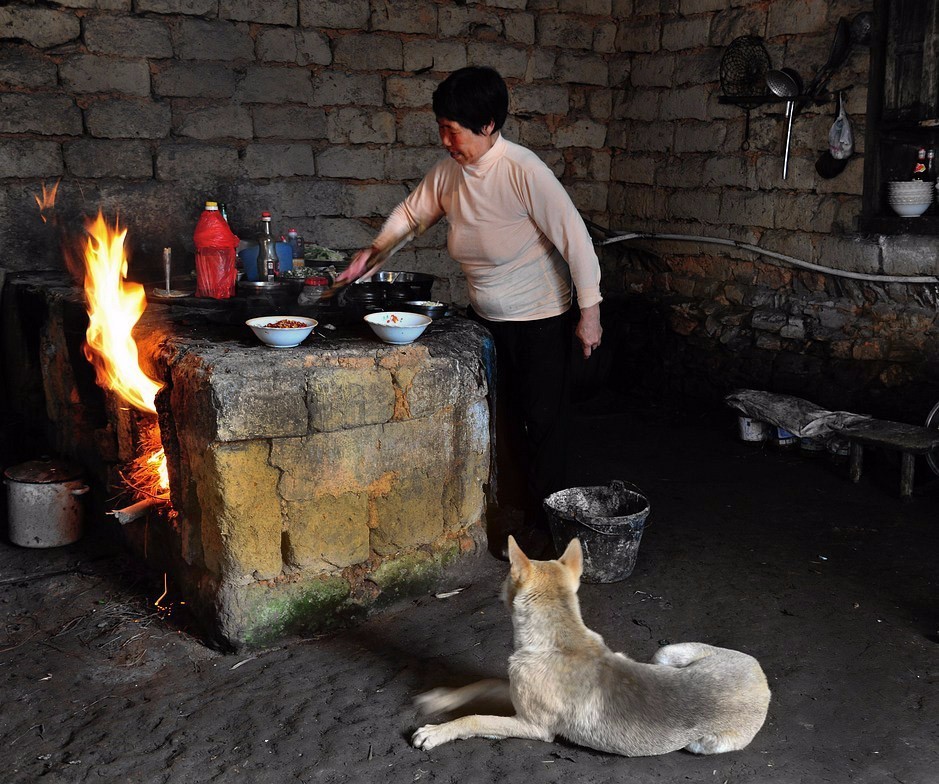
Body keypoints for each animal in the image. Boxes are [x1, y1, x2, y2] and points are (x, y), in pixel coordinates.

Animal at [412, 536, 772, 756]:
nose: (497, 592)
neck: (558, 640)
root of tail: (761, 677)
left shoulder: (533, 726)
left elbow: (474, 720)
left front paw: (437, 731)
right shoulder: (515, 692)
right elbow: (482, 682)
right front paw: (441, 698)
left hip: (702, 742)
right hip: (666, 654)